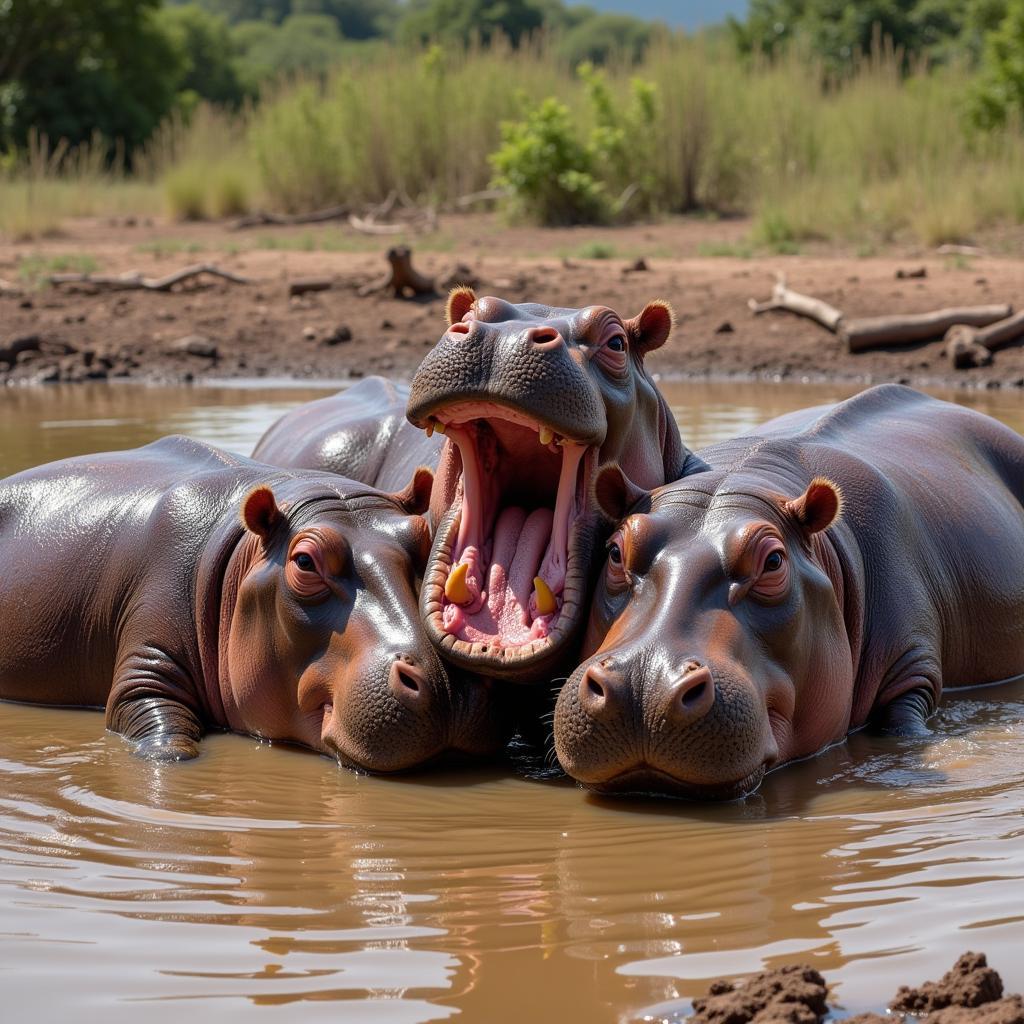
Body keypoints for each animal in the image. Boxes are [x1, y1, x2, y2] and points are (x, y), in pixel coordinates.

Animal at [557, 385, 1024, 798]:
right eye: (615, 551)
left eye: (774, 562)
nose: (643, 683)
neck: (749, 475)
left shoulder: (914, 666)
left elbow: (903, 722)